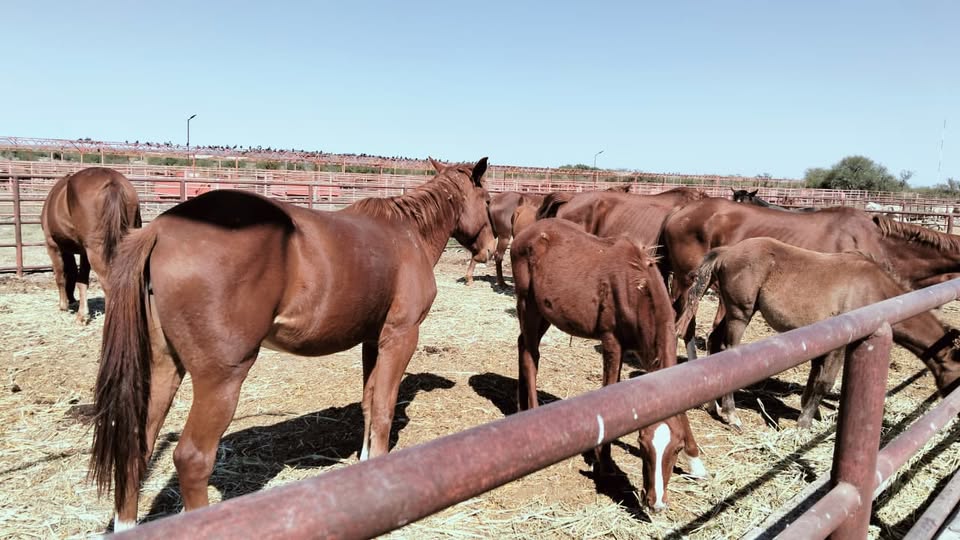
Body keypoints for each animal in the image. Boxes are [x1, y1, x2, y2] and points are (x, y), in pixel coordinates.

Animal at [40, 167, 142, 323]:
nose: (71, 300)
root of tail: (113, 181)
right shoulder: (83, 252)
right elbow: (81, 280)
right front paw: (82, 313)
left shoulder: (53, 245)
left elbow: (60, 276)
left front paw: (63, 306)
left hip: (96, 250)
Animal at [89, 157, 493, 531]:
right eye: (487, 199)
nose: (490, 249)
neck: (407, 234)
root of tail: (159, 230)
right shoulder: (400, 336)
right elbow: (383, 408)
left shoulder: (371, 340)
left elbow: (368, 403)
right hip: (220, 380)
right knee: (192, 459)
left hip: (163, 367)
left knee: (137, 446)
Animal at [511, 218, 707, 512]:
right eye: (642, 445)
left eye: (676, 449)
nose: (656, 503)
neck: (636, 288)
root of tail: (526, 233)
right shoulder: (612, 342)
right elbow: (609, 391)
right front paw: (604, 462)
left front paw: (695, 461)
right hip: (528, 304)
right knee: (530, 353)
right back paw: (532, 413)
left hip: (544, 311)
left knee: (524, 345)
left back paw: (521, 406)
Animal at [678, 237, 960, 430]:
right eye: (958, 376)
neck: (875, 290)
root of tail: (726, 252)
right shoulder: (842, 344)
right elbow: (825, 382)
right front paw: (803, 424)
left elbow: (814, 378)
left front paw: (809, 413)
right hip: (740, 313)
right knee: (727, 350)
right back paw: (731, 414)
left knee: (714, 342)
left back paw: (712, 405)